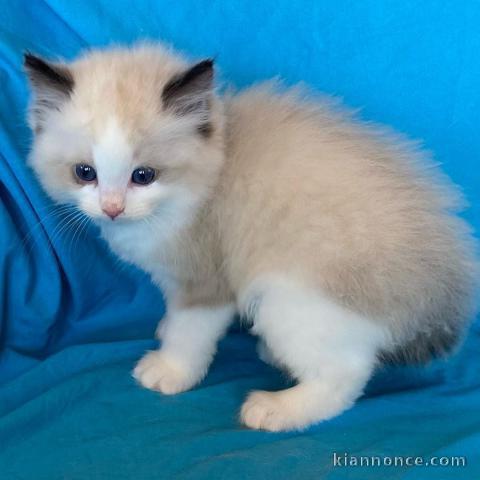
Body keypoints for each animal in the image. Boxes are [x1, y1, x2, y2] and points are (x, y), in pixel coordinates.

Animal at [25, 42, 476, 432]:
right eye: (85, 173)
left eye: (143, 176)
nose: (112, 208)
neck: (214, 172)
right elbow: (173, 317)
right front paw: (164, 331)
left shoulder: (206, 283)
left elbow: (189, 333)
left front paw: (169, 370)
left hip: (287, 298)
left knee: (347, 375)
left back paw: (276, 409)